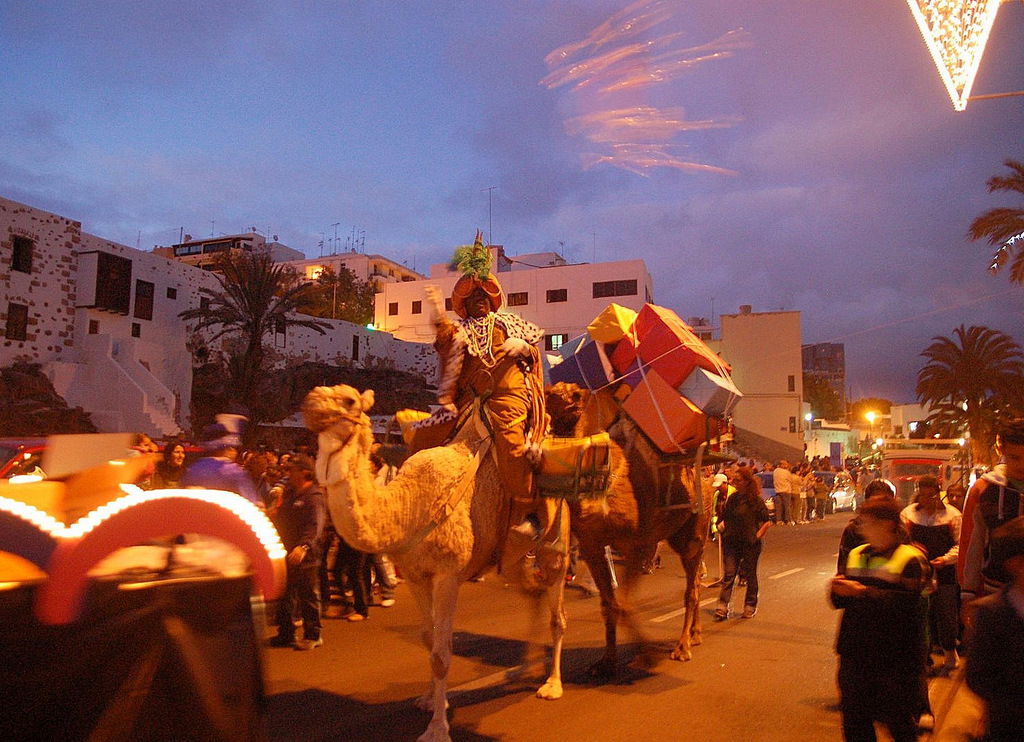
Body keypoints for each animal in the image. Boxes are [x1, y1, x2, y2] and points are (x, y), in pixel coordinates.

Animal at [299, 382, 573, 740]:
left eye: (349, 400)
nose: (311, 405)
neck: (408, 506)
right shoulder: (416, 574)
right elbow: (428, 641)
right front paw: (430, 701)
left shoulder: (448, 574)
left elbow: (442, 653)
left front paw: (437, 729)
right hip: (511, 559)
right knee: (532, 591)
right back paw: (527, 666)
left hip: (556, 547)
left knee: (557, 613)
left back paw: (552, 684)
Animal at [544, 382, 712, 671]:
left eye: (572, 394)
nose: (545, 391)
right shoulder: (592, 546)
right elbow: (609, 603)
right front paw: (606, 661)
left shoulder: (637, 544)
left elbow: (624, 603)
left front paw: (647, 655)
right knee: (696, 585)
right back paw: (696, 634)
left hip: (694, 534)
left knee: (691, 587)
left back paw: (683, 647)